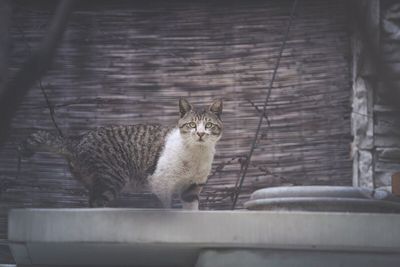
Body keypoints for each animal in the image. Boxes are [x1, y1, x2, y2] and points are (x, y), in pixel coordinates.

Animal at [18, 97, 223, 210]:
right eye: (192, 125)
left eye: (209, 125)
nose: (200, 133)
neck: (197, 155)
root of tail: (78, 140)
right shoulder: (161, 183)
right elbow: (166, 208)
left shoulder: (192, 189)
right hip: (112, 178)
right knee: (95, 204)